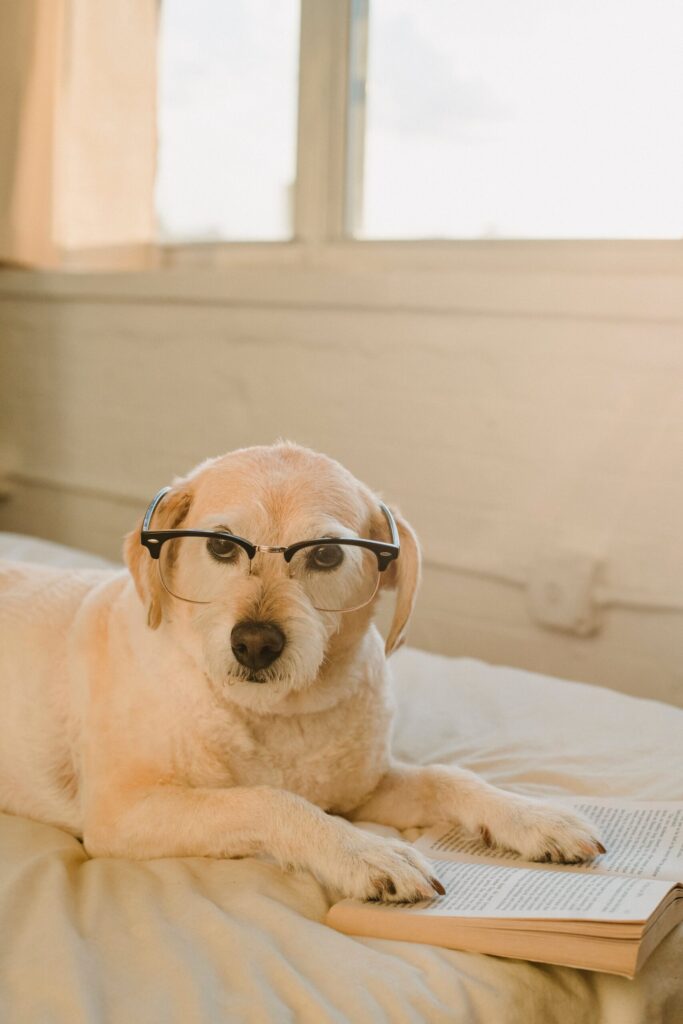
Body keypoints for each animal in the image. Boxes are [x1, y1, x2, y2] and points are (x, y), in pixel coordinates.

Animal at [0, 444, 602, 901]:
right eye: (219, 545)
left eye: (327, 556)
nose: (255, 644)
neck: (279, 715)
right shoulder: (123, 813)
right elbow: (268, 799)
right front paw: (364, 850)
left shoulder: (363, 790)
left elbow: (447, 776)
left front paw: (532, 816)